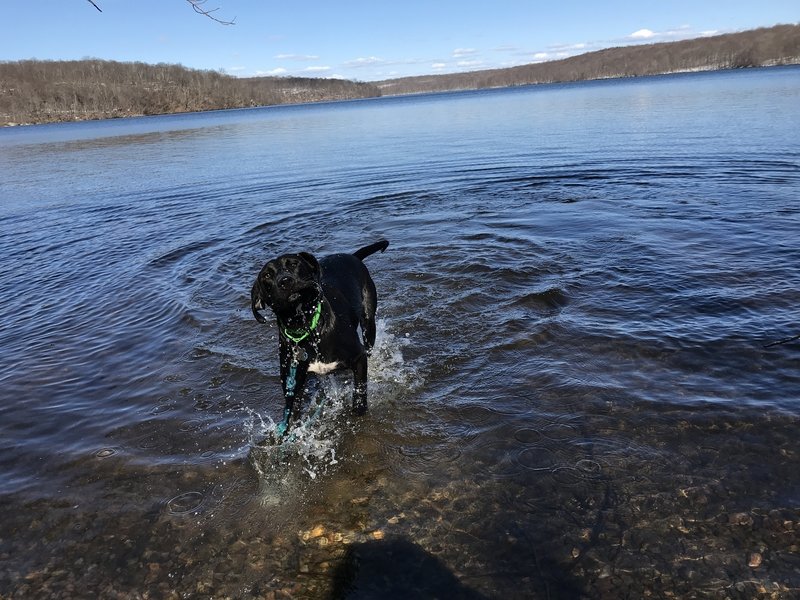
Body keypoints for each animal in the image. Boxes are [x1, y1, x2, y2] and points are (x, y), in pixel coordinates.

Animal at [250, 239, 388, 436]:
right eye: (267, 276)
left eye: (293, 264)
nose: (285, 281)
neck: (307, 329)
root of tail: (352, 256)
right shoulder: (292, 384)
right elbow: (291, 416)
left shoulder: (359, 357)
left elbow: (360, 394)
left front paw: (358, 413)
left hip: (369, 321)